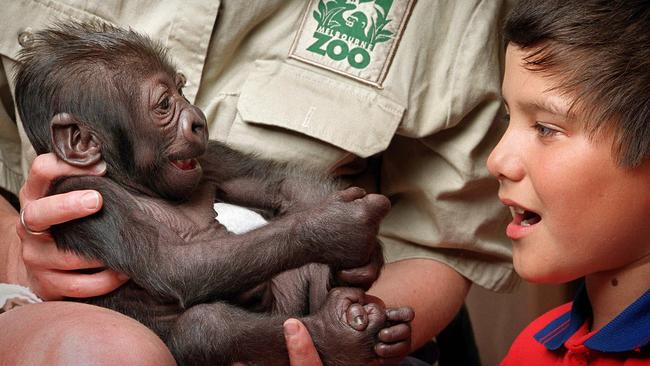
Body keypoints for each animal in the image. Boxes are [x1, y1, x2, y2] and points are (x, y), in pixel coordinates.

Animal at [15, 21, 412, 364]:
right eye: (164, 104)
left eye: (182, 90)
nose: (198, 120)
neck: (135, 182)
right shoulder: (87, 193)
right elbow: (174, 265)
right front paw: (338, 228)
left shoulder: (210, 159)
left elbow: (274, 183)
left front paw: (367, 259)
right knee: (205, 327)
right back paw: (339, 336)